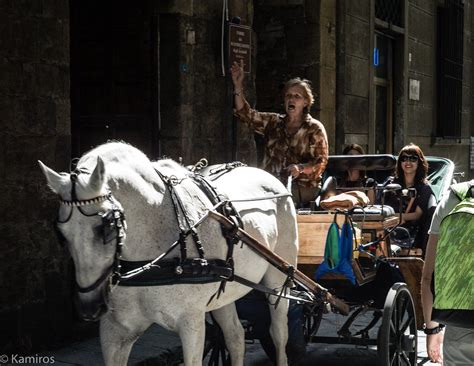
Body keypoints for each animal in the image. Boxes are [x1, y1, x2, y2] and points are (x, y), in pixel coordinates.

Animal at [39, 142, 296, 364]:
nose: (89, 307)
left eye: (107, 227)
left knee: (279, 333)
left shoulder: (191, 323)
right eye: (60, 233)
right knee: (235, 336)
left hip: (278, 282)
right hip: (225, 289)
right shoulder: (114, 331)